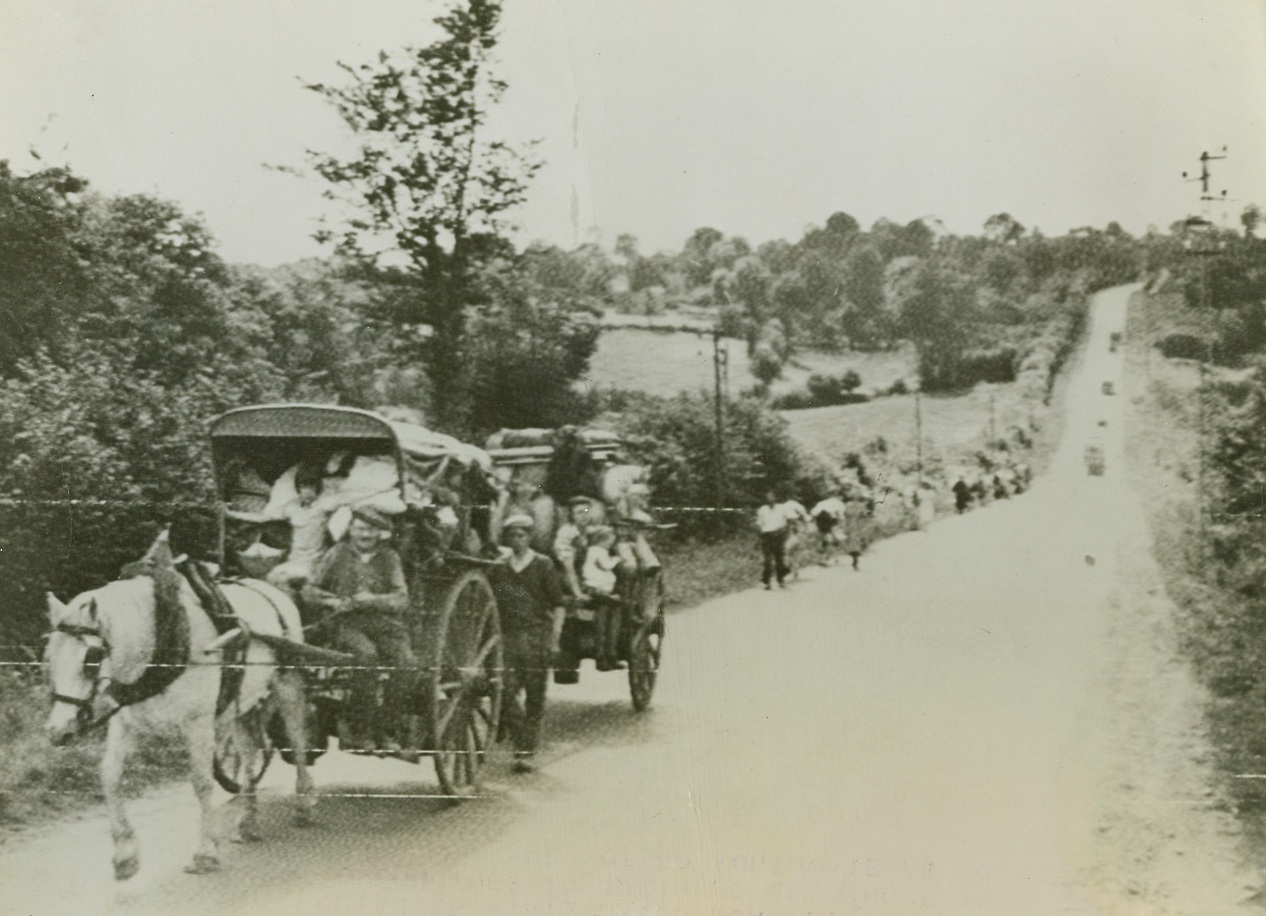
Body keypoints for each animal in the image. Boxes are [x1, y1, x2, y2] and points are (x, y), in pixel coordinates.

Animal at [45, 536, 313, 880]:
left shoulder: (198, 722)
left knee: (297, 740)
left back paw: (304, 804)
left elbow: (201, 781)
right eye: (49, 657)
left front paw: (205, 852)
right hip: (243, 704)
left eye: (91, 659)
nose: (58, 730)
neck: (163, 638)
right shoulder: (125, 722)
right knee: (248, 751)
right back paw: (249, 821)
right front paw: (125, 855)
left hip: (288, 686)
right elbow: (109, 775)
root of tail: (269, 588)